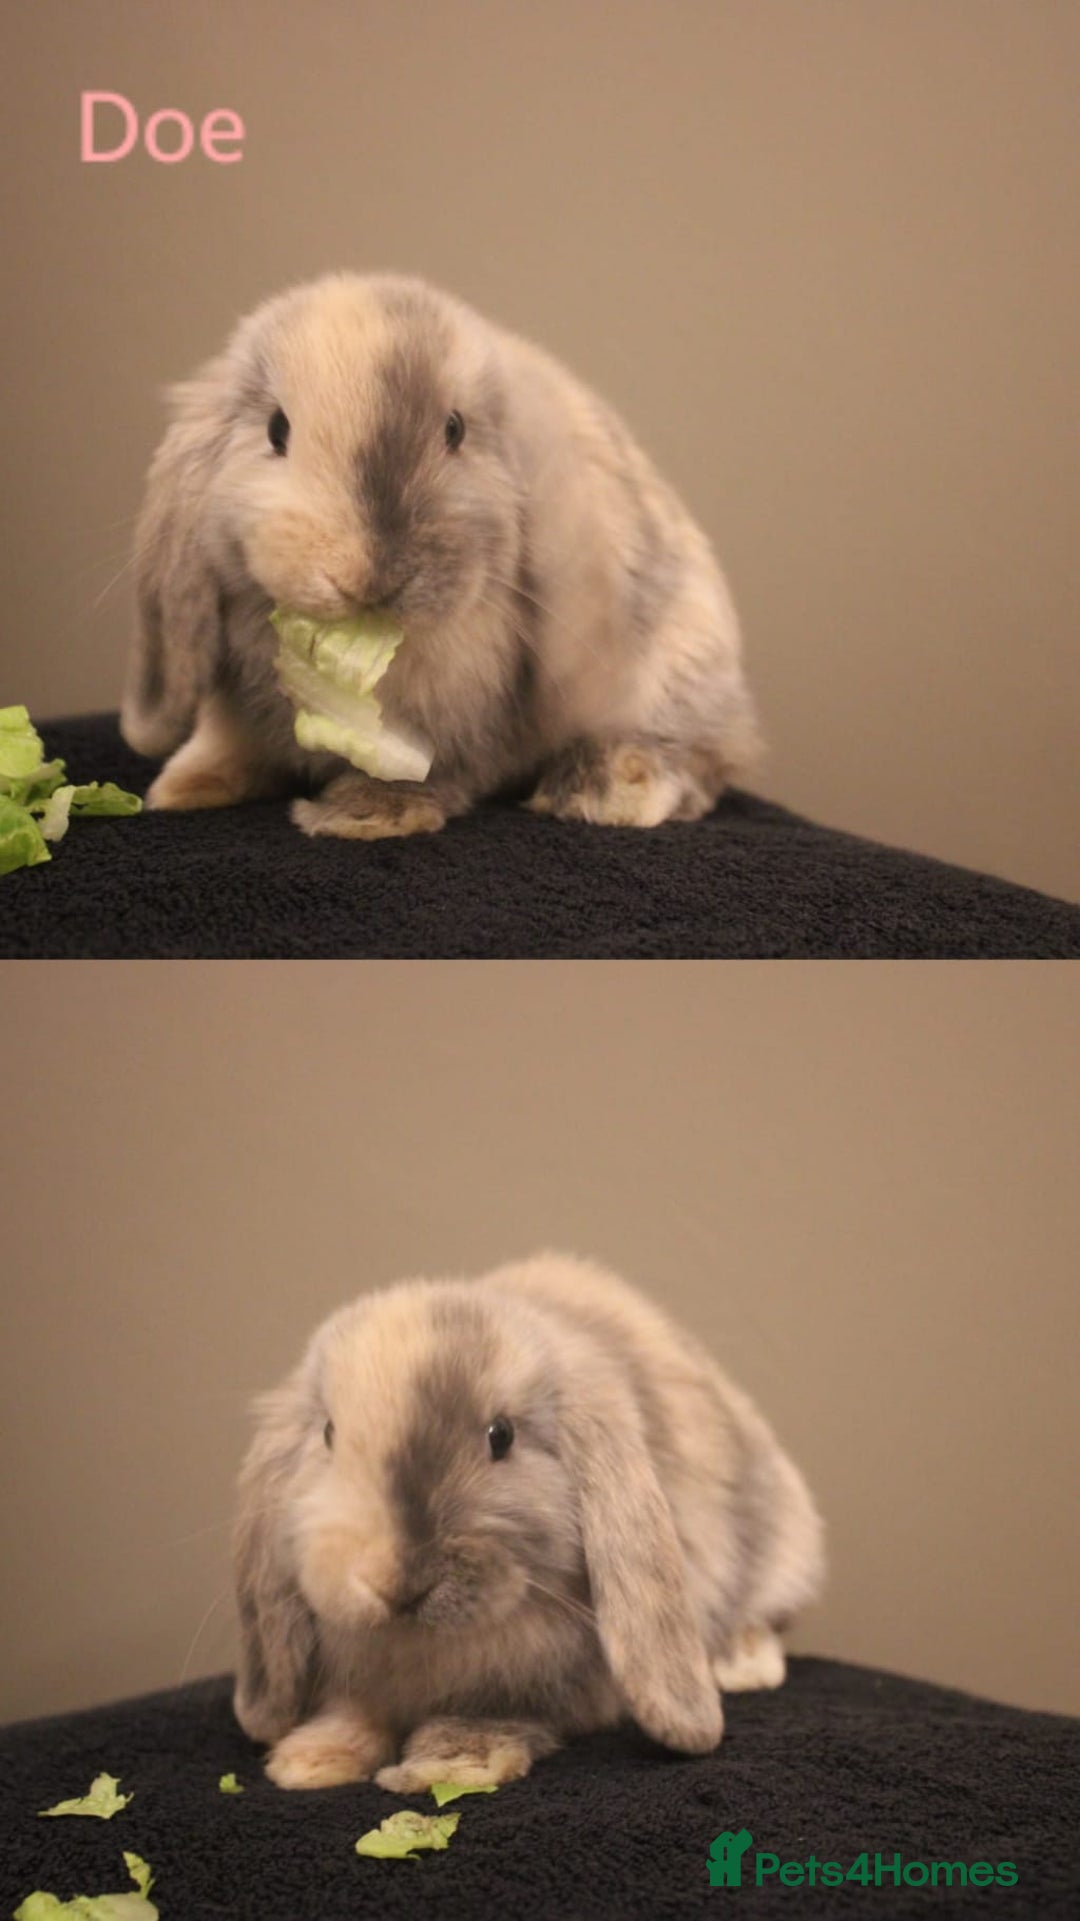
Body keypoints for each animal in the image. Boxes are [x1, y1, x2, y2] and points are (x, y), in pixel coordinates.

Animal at [121, 272, 761, 839]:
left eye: (454, 430)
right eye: (277, 430)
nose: (365, 576)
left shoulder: (463, 721)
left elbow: (435, 768)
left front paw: (366, 815)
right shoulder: (233, 705)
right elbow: (224, 742)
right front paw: (182, 790)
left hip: (683, 671)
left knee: (702, 762)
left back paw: (606, 790)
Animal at [232, 1253, 824, 1791]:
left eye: (502, 1436)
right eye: (329, 1434)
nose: (396, 1581)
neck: (419, 1645)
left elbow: (498, 1714)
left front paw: (451, 1765)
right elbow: (354, 1709)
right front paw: (310, 1760)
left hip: (787, 1547)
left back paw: (744, 1665)